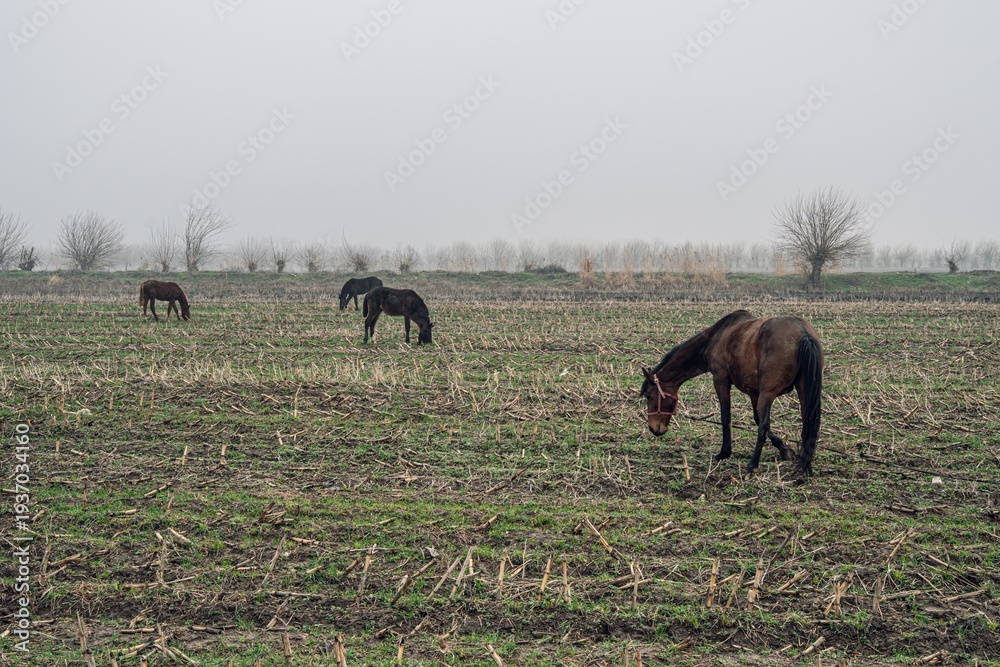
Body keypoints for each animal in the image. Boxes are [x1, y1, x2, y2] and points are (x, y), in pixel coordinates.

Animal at [639, 310, 823, 476]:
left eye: (649, 396)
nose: (653, 428)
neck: (716, 337)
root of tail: (803, 333)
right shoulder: (754, 393)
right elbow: (757, 419)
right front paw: (784, 449)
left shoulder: (721, 380)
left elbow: (727, 417)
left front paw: (724, 452)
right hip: (802, 390)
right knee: (808, 423)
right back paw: (805, 465)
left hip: (768, 394)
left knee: (766, 426)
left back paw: (753, 464)